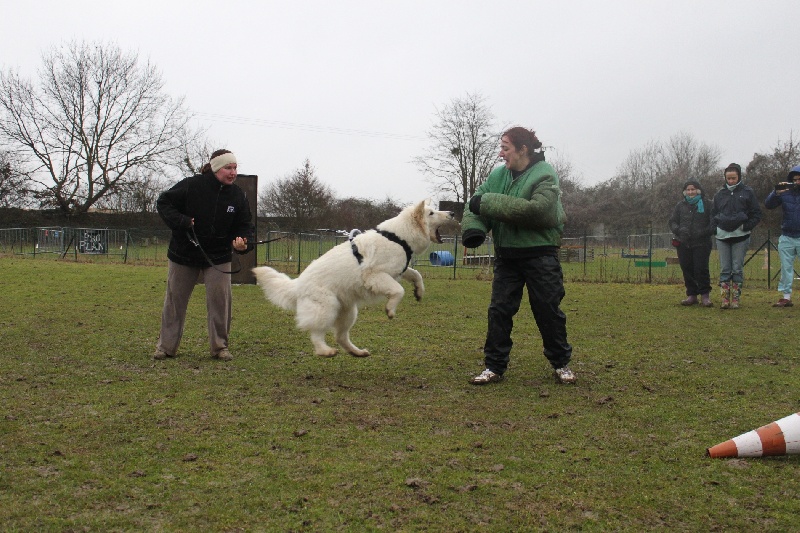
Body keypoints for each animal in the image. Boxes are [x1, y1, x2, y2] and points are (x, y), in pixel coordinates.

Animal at [256, 200, 456, 358]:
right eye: (431, 213)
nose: (452, 213)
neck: (398, 238)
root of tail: (297, 284)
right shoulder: (376, 275)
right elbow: (399, 291)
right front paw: (390, 309)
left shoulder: (399, 270)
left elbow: (416, 274)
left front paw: (419, 291)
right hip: (327, 308)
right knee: (316, 333)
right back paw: (325, 351)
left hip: (349, 312)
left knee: (340, 337)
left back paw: (356, 352)